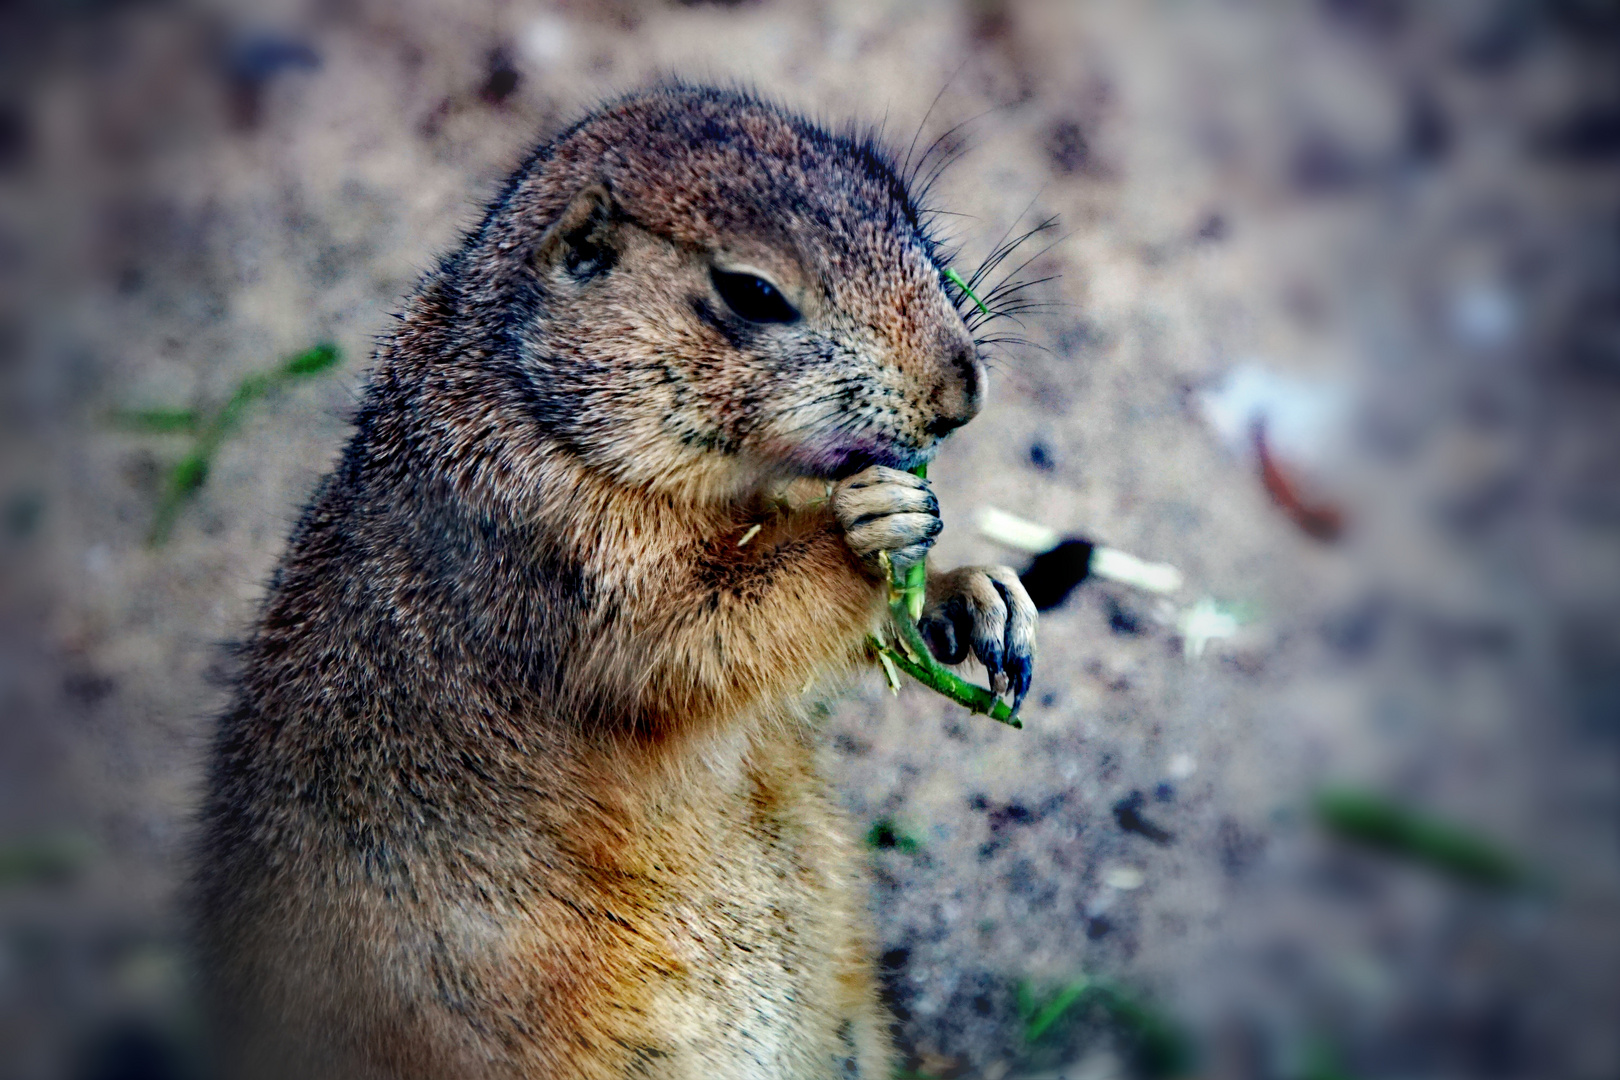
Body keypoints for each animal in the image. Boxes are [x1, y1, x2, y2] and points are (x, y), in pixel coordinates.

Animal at [192, 86, 1036, 1080]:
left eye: (901, 202)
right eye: (751, 292)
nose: (961, 396)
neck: (548, 416)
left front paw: (981, 599)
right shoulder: (560, 548)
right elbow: (698, 632)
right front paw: (872, 526)